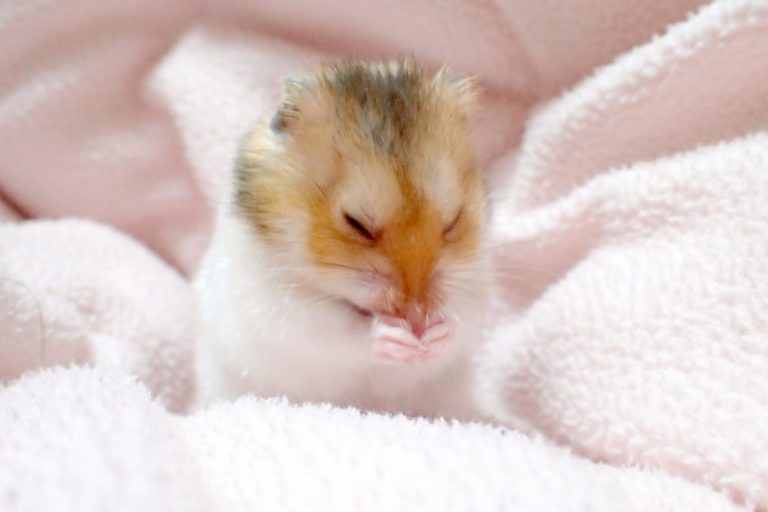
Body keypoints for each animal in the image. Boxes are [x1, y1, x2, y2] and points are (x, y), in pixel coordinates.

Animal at [194, 59, 492, 419]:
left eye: (454, 220)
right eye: (356, 223)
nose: (415, 312)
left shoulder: (473, 284)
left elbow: (460, 321)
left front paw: (435, 332)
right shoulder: (284, 309)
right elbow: (344, 334)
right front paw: (395, 336)